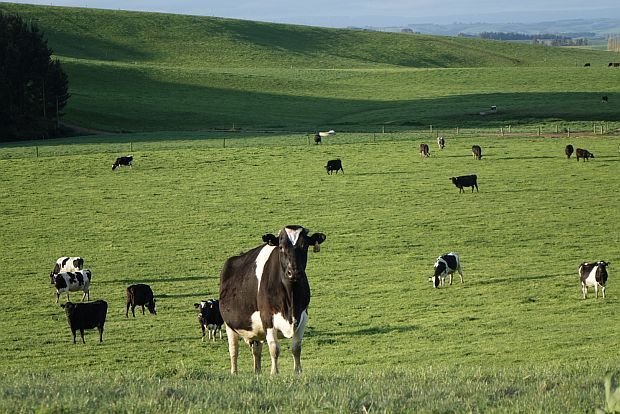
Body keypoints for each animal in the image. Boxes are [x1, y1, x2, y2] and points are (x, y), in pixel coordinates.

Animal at [220, 226, 326, 376]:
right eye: (281, 247)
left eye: (305, 246)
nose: (293, 272)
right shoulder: (267, 317)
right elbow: (274, 348)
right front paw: (274, 373)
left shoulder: (303, 316)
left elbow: (296, 348)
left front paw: (297, 371)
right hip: (229, 325)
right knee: (234, 350)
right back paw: (234, 373)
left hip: (255, 331)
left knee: (256, 350)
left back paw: (257, 372)